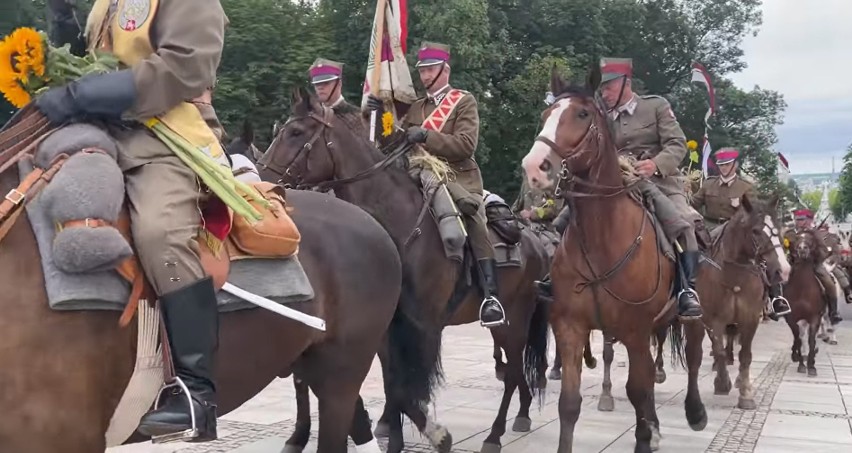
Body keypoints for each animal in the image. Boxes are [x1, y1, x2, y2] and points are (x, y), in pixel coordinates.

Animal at [262, 86, 552, 452]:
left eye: (296, 133)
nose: (261, 179)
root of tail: (535, 241)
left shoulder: (423, 323)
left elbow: (411, 385)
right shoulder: (388, 326)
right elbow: (391, 383)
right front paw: (394, 437)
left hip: (512, 318)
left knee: (513, 371)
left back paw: (495, 434)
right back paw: (521, 415)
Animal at [520, 68, 704, 452]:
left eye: (582, 114)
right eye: (546, 115)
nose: (534, 167)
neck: (601, 236)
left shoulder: (635, 329)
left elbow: (638, 389)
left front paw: (645, 438)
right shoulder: (571, 327)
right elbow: (569, 403)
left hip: (693, 316)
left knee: (693, 360)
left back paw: (695, 413)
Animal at [696, 196, 788, 408]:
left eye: (778, 228)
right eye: (755, 231)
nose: (783, 270)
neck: (734, 277)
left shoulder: (751, 318)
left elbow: (745, 355)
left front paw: (746, 393)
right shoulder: (714, 320)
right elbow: (719, 350)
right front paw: (722, 383)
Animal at [784, 230, 824, 374]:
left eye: (810, 241)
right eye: (796, 240)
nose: (802, 248)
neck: (802, 290)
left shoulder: (815, 317)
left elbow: (811, 339)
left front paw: (811, 366)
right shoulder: (791, 318)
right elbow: (798, 339)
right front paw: (801, 363)